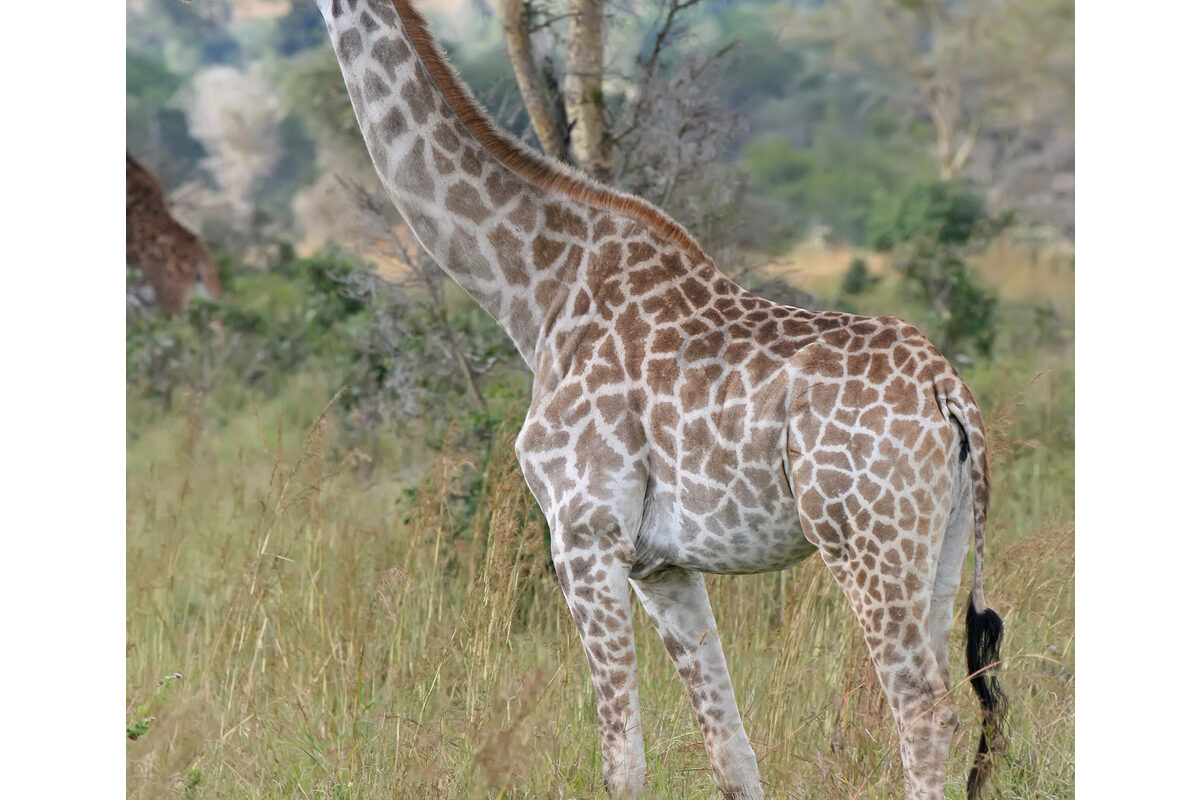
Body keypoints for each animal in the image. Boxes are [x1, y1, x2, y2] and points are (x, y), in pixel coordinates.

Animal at [316, 2, 1007, 798]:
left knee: (923, 713)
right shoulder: (661, 564)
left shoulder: (583, 534)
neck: (535, 294)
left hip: (864, 537)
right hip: (940, 542)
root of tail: (948, 391)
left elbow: (622, 760)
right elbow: (732, 753)